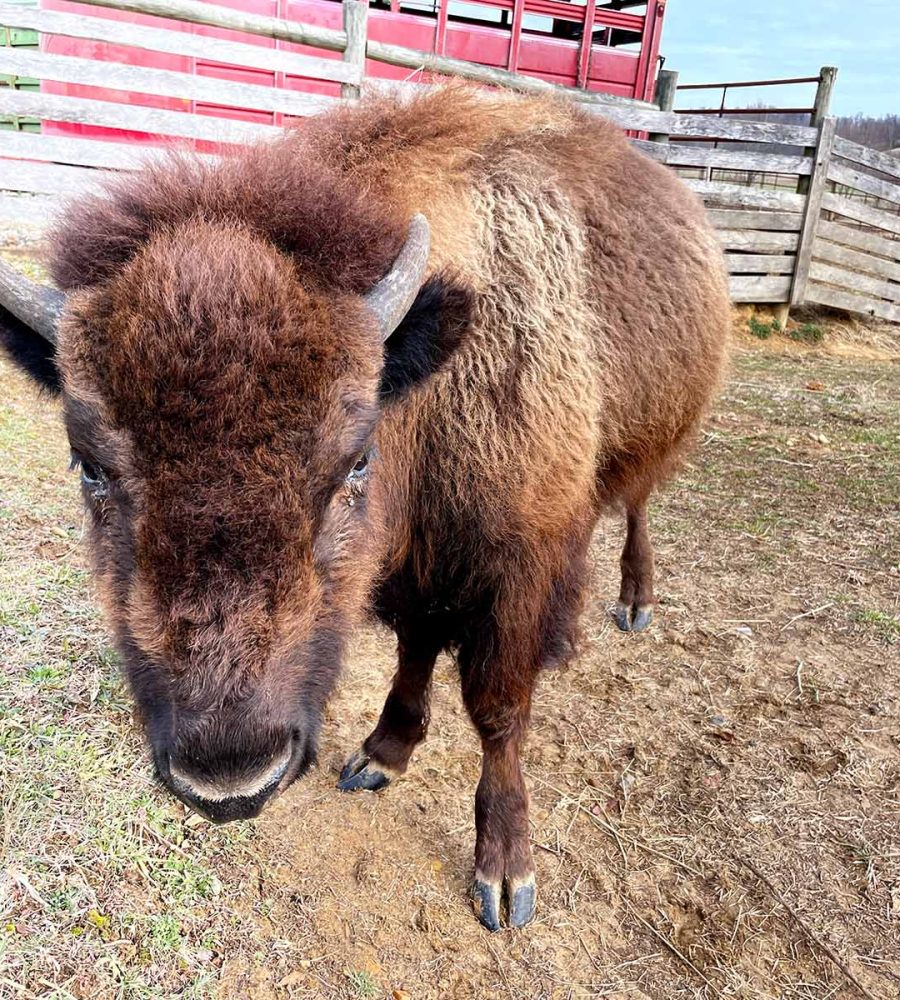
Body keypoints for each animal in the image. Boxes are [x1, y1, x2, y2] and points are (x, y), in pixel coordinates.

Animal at [0, 84, 728, 928]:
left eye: (355, 458)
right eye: (89, 466)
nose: (230, 776)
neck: (433, 384)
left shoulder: (515, 570)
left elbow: (498, 708)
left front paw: (505, 876)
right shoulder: (414, 567)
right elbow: (416, 652)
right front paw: (383, 754)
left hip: (653, 441)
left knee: (638, 506)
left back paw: (635, 602)